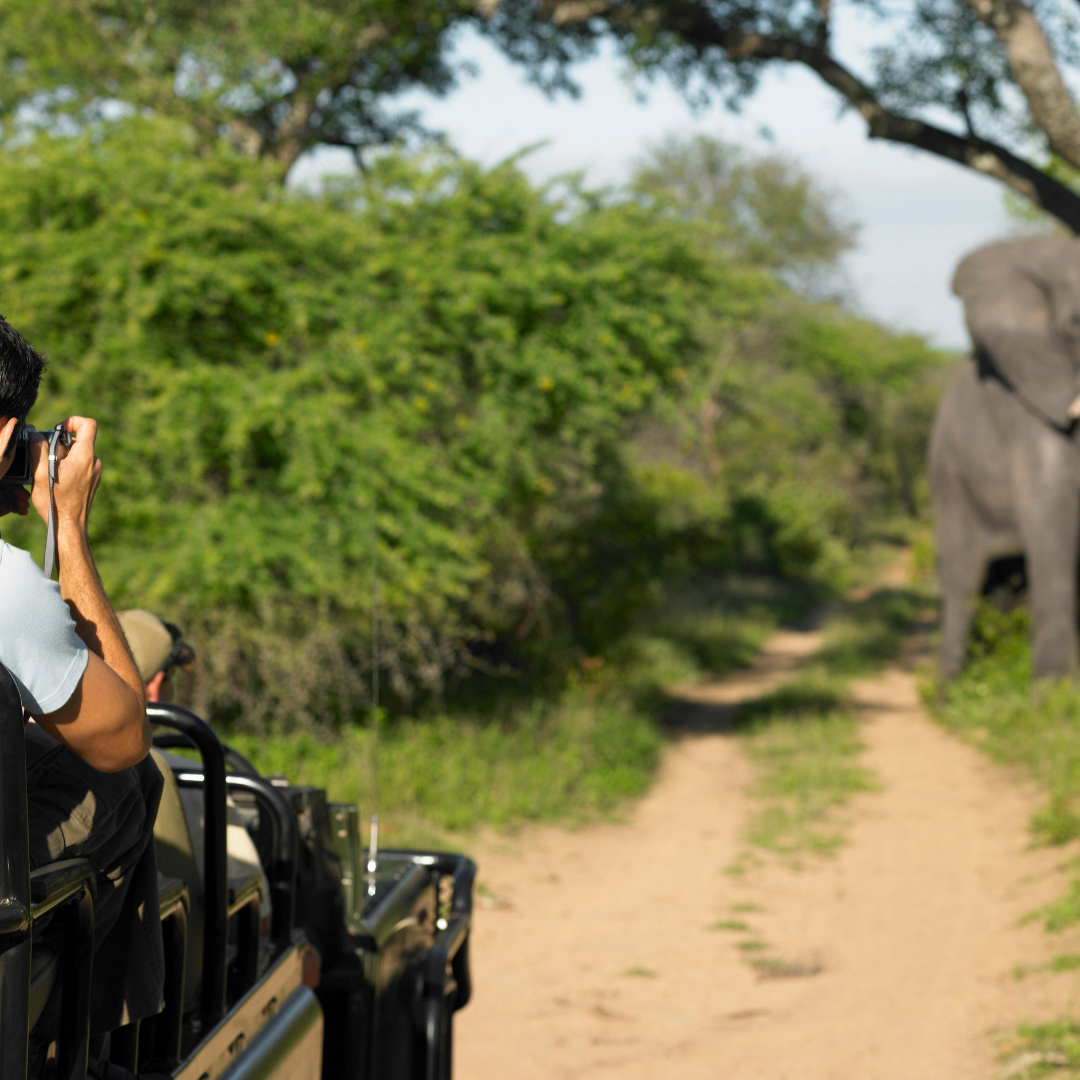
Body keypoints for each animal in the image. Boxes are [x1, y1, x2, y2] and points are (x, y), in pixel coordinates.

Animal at [931, 236, 1080, 679]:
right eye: (1075, 325)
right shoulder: (1032, 408)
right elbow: (1053, 526)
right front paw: (1050, 694)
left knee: (1001, 586)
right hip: (949, 477)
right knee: (961, 583)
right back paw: (950, 690)